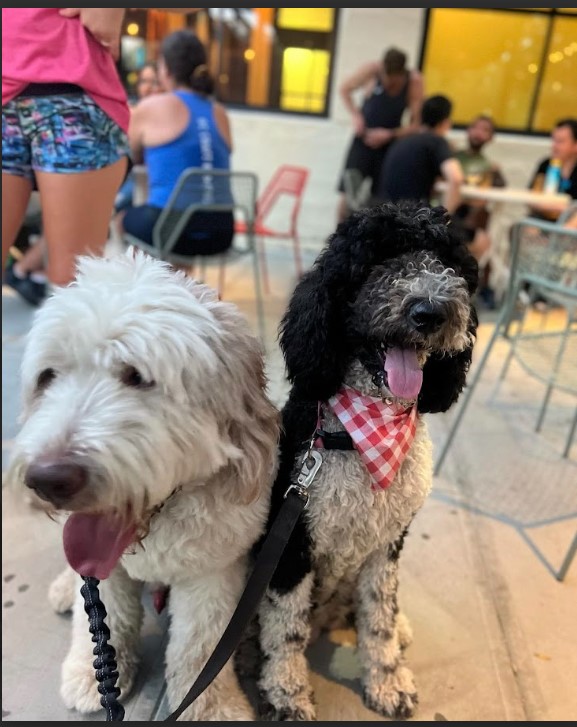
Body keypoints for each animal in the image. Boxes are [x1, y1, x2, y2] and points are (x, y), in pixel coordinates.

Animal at [6, 252, 280, 724]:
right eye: (48, 377)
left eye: (136, 376)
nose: (48, 478)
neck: (156, 523)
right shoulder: (103, 578)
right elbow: (103, 622)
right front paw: (89, 674)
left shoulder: (213, 571)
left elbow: (199, 645)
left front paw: (213, 706)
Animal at [237, 202, 476, 720]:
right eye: (375, 261)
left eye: (446, 262)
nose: (431, 310)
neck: (363, 434)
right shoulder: (293, 547)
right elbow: (286, 629)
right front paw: (287, 694)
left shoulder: (386, 546)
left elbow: (379, 618)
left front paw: (387, 680)